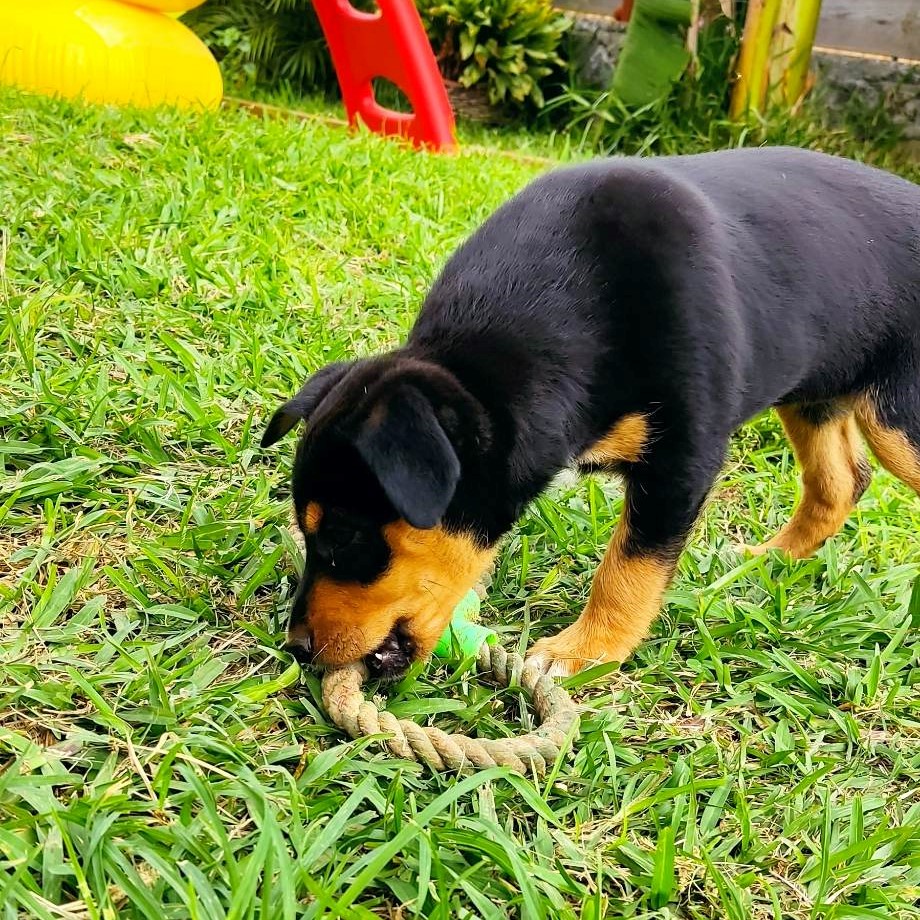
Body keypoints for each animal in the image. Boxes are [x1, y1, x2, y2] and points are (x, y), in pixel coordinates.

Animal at [258, 147, 920, 680]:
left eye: (345, 535)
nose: (296, 648)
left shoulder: (681, 457)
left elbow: (629, 568)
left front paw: (583, 653)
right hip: (818, 391)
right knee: (842, 481)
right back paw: (767, 560)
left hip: (896, 421)